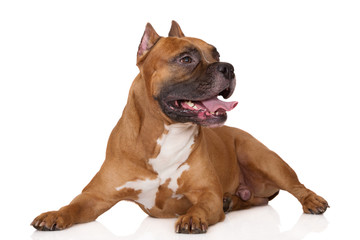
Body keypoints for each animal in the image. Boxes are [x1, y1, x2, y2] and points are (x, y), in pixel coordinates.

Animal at [31, 21, 330, 233]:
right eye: (186, 59)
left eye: (216, 54)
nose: (229, 67)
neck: (166, 132)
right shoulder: (95, 196)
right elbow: (72, 206)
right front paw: (54, 214)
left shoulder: (206, 194)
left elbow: (201, 206)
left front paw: (192, 217)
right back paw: (231, 201)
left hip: (262, 157)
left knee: (297, 186)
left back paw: (312, 201)